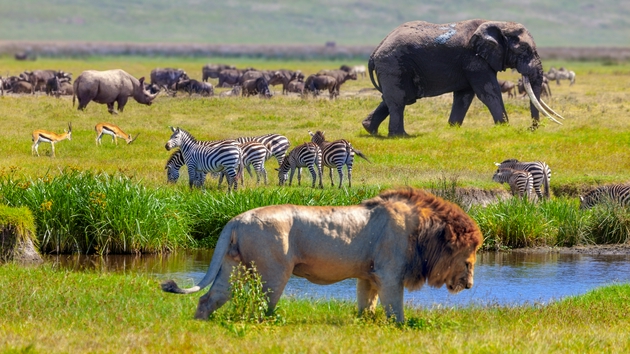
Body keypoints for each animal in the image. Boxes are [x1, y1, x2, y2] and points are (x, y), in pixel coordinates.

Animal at [162, 188, 484, 324]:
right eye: (469, 260)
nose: (469, 285)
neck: (424, 231)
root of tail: (236, 219)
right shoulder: (390, 273)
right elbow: (396, 309)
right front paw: (401, 328)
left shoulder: (369, 275)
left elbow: (367, 305)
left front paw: (365, 324)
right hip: (273, 272)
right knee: (262, 307)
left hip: (234, 267)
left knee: (209, 298)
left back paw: (201, 323)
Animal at [362, 19, 564, 137]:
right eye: (524, 49)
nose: (531, 129)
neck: (497, 24)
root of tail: (374, 52)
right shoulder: (474, 59)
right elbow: (488, 92)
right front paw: (504, 128)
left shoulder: (470, 64)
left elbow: (464, 96)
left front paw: (452, 129)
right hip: (393, 64)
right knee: (399, 99)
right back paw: (400, 136)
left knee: (396, 98)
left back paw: (369, 130)